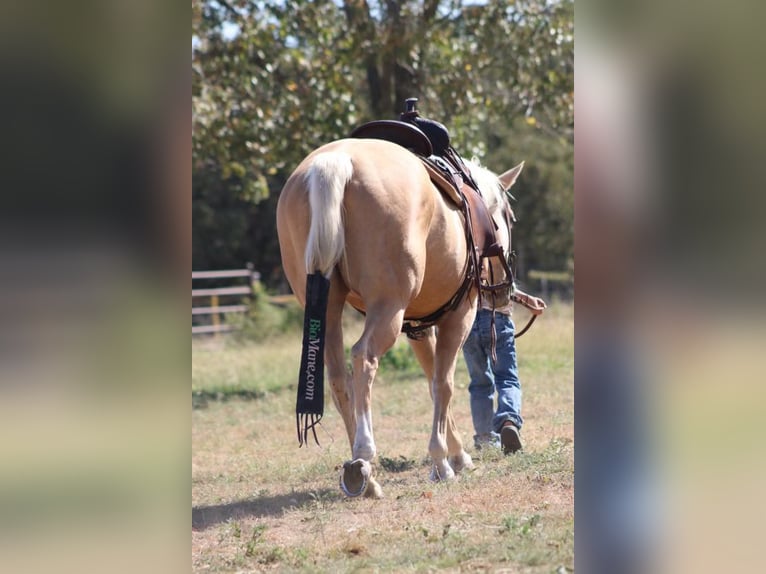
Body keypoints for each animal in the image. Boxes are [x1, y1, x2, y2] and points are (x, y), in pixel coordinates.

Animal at [280, 138, 524, 500]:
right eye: (509, 217)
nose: (504, 294)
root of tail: (336, 161)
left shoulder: (418, 328)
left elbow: (433, 383)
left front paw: (456, 456)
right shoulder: (458, 317)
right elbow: (443, 384)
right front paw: (441, 462)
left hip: (329, 308)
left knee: (339, 378)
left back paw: (363, 474)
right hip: (388, 309)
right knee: (364, 358)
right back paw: (363, 455)